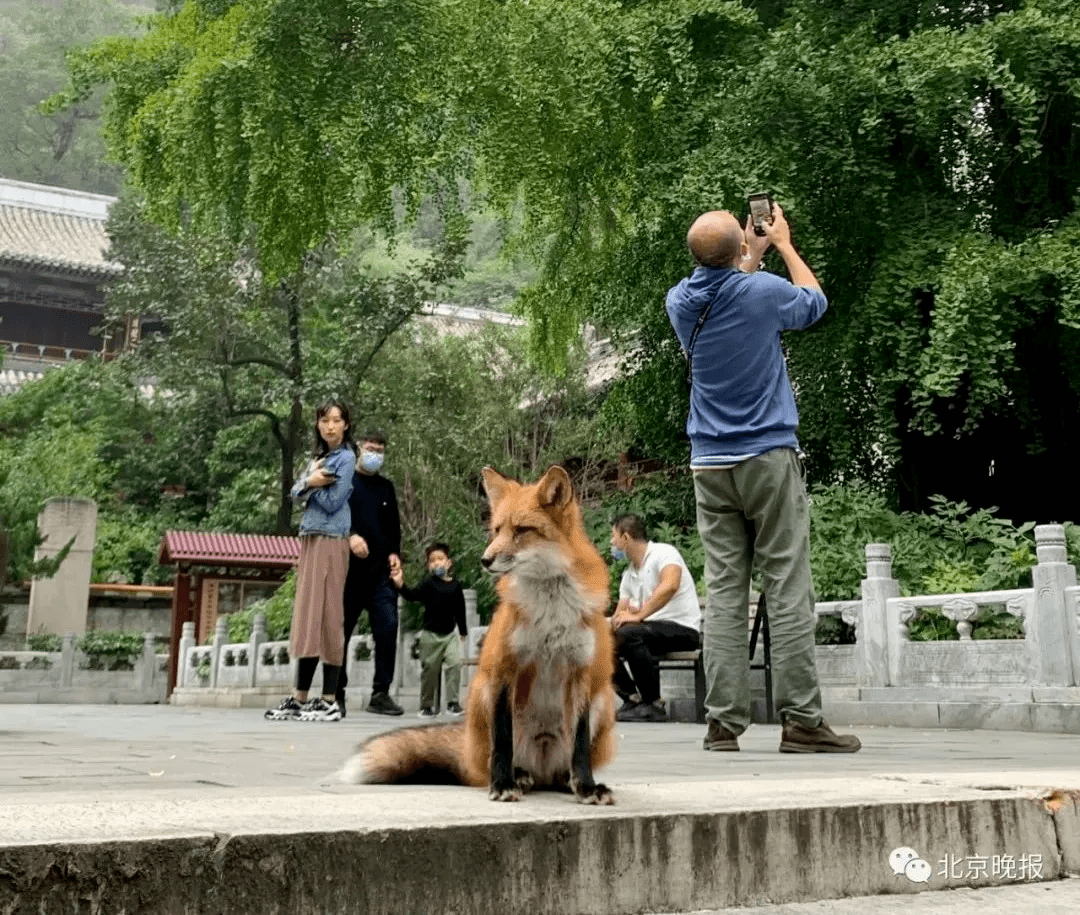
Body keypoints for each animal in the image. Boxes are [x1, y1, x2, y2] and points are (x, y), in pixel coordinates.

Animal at [343, 464, 617, 803]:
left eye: (521, 530)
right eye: (497, 530)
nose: (485, 560)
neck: (550, 608)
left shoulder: (580, 673)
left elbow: (579, 745)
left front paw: (587, 786)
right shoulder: (504, 668)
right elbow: (502, 740)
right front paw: (502, 784)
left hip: (602, 699)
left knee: (560, 770)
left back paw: (567, 781)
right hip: (481, 692)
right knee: (491, 762)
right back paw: (516, 776)